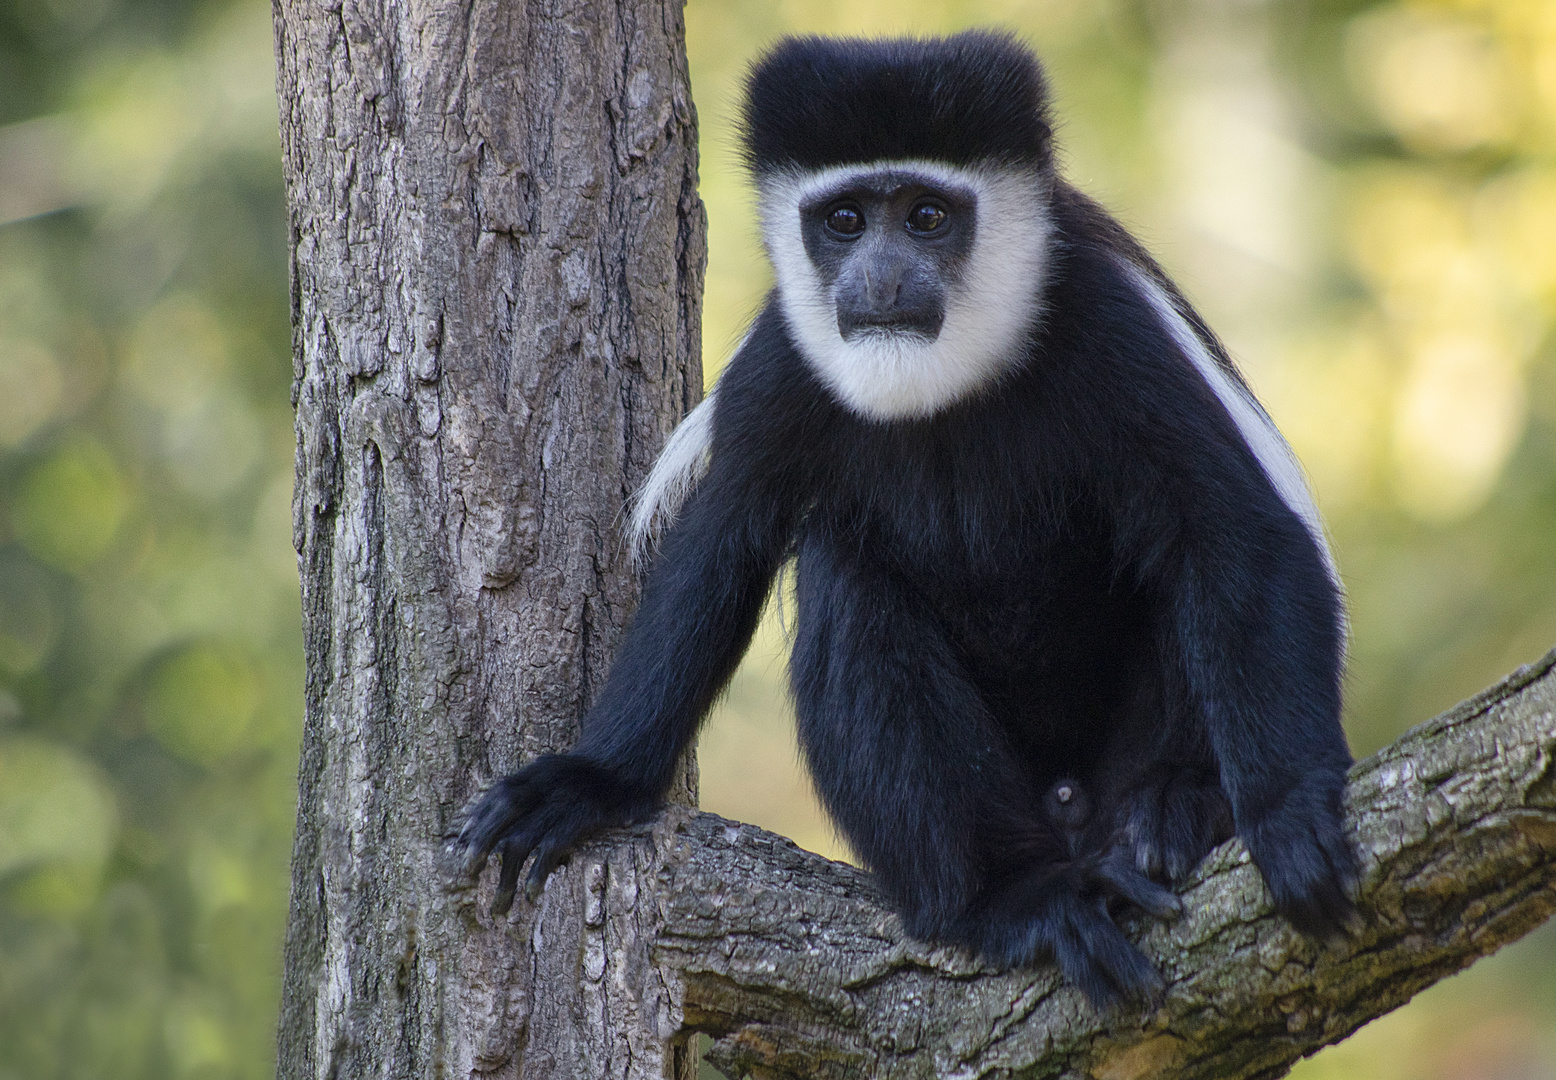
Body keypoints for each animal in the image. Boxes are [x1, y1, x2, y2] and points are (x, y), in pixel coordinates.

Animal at [448, 29, 1350, 1008]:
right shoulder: (782, 371)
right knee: (847, 584)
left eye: (926, 216)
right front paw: (591, 782)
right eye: (845, 220)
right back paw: (1019, 898)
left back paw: (1171, 809)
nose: (881, 278)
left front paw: (1292, 814)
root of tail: (1072, 809)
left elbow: (1234, 539)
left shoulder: (1111, 325)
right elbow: (716, 554)